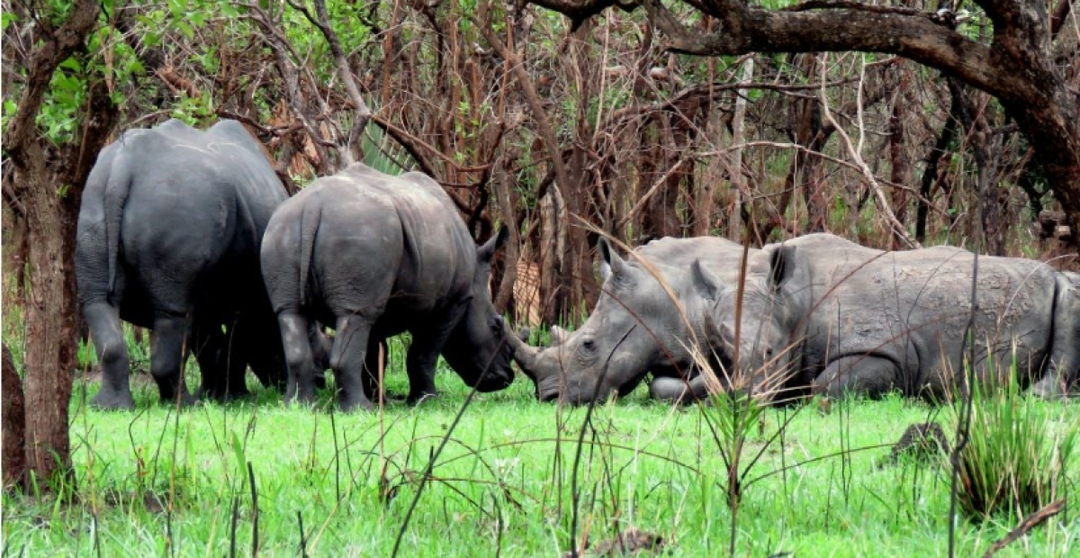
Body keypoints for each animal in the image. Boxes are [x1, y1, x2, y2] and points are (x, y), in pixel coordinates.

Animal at [76, 119, 306, 409]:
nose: (280, 382)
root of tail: (122, 167)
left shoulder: (208, 295)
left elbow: (208, 343)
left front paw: (213, 395)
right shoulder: (246, 295)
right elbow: (233, 343)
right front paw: (233, 396)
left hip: (93, 204)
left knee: (101, 303)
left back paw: (110, 406)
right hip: (177, 200)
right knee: (173, 312)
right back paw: (183, 404)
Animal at [260, 163, 515, 411]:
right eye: (495, 326)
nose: (506, 378)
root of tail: (313, 206)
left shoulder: (377, 296)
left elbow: (374, 353)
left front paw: (381, 400)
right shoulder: (451, 303)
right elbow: (424, 354)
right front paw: (426, 401)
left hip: (281, 232)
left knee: (291, 313)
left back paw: (299, 407)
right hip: (360, 232)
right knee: (351, 316)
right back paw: (359, 410)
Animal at [698, 233, 1080, 401]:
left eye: (769, 351)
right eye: (722, 355)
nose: (741, 399)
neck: (792, 300)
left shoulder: (885, 350)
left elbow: (824, 386)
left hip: (1062, 283)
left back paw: (1035, 396)